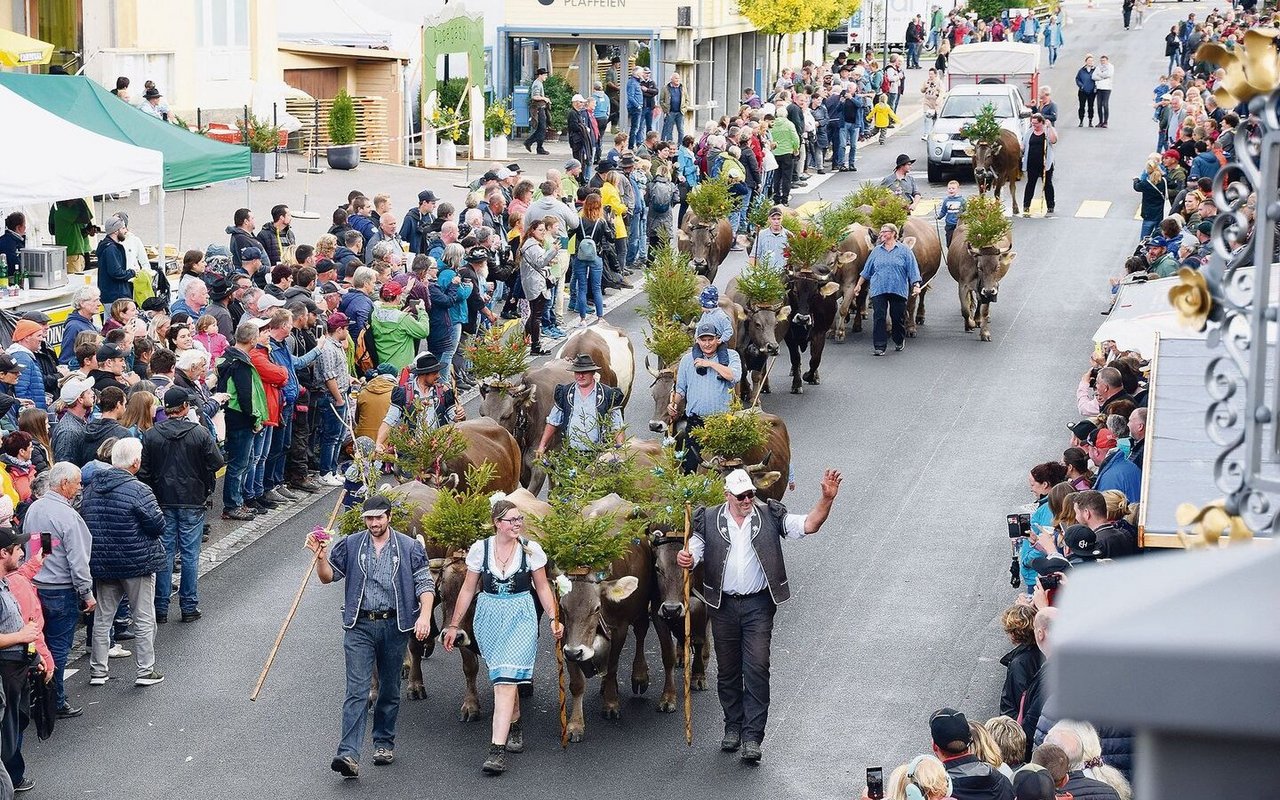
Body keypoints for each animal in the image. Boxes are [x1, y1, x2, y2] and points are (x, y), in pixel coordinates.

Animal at [558, 494, 655, 742]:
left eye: (596, 608)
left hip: (641, 608)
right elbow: (577, 683)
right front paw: (575, 725)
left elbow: (612, 666)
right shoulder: (566, 636)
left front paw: (611, 704)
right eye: (563, 606)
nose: (575, 652)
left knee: (641, 632)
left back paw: (639, 675)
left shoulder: (619, 627)